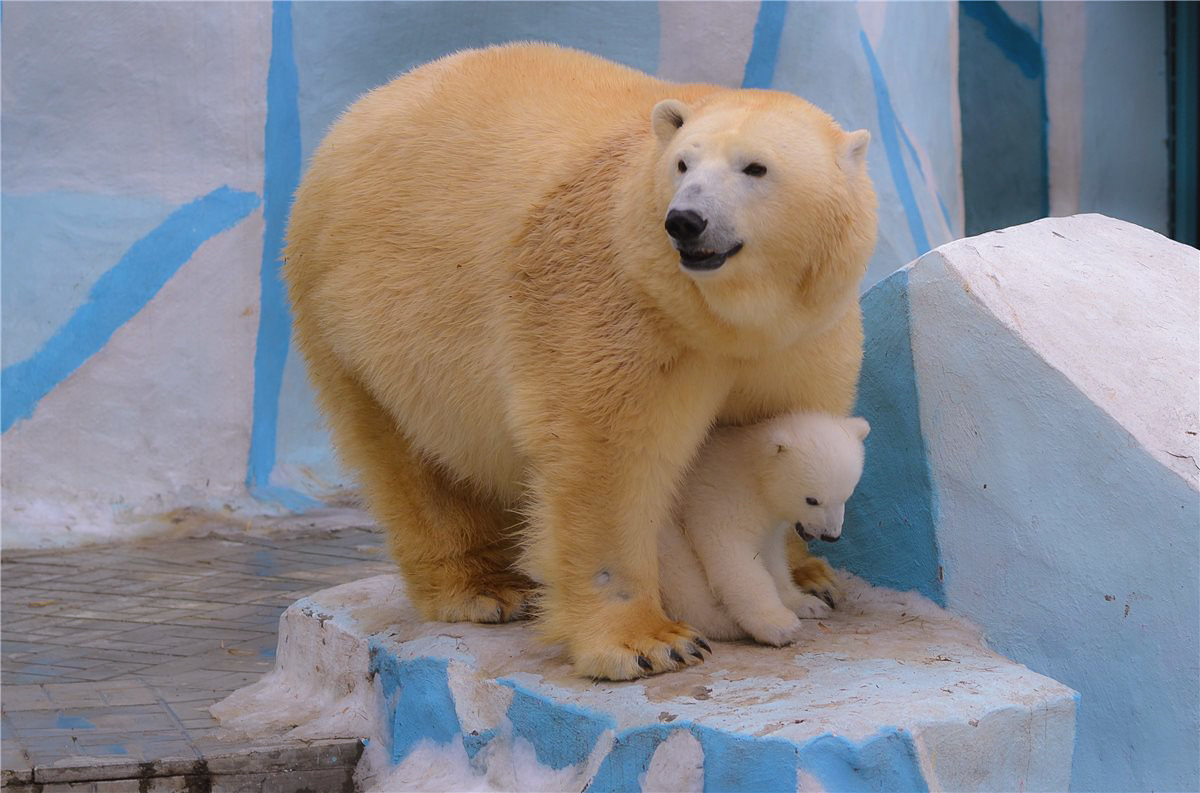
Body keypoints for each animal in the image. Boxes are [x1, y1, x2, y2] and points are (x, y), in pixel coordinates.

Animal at [662, 410, 868, 647]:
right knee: (680, 572)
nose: (831, 536)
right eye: (812, 500)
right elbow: (733, 556)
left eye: (846, 495)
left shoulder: (769, 520)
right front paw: (779, 625)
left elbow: (772, 557)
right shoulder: (719, 499)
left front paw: (807, 603)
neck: (753, 472)